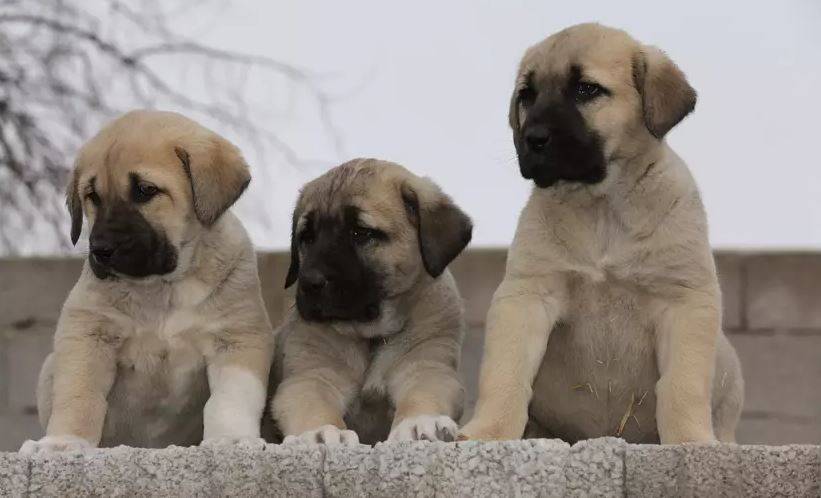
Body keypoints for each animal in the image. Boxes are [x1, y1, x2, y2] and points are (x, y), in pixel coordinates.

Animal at [19, 111, 274, 454]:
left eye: (145, 190)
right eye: (92, 196)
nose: (100, 249)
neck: (163, 287)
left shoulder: (236, 339)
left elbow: (231, 399)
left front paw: (231, 438)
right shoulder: (89, 333)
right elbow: (79, 396)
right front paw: (62, 443)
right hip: (50, 365)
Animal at [270, 159, 470, 444]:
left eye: (361, 232)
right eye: (307, 237)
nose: (309, 282)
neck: (371, 336)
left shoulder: (427, 367)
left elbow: (423, 394)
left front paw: (420, 422)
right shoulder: (311, 376)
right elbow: (313, 405)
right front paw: (321, 432)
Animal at [462, 23, 744, 444]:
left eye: (586, 89)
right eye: (527, 95)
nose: (533, 139)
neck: (602, 207)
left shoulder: (685, 300)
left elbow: (682, 384)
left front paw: (690, 441)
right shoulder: (527, 295)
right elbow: (505, 373)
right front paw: (489, 432)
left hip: (725, 357)